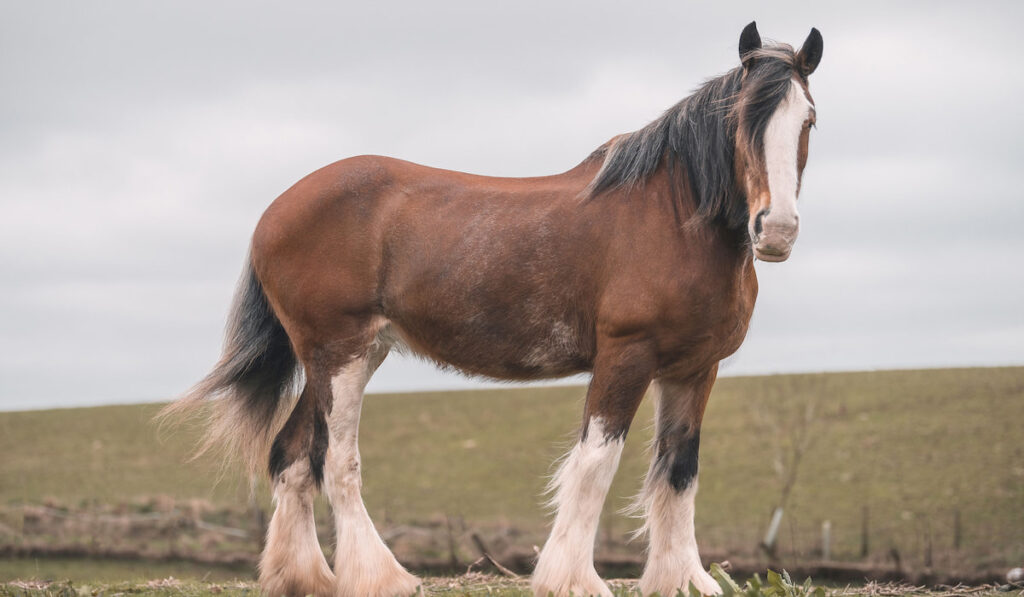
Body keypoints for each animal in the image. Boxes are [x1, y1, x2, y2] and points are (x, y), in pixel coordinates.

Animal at [163, 20, 819, 597]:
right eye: (742, 118)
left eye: (807, 119)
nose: (776, 230)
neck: (673, 216)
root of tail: (275, 210)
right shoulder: (626, 356)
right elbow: (595, 466)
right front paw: (572, 581)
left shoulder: (694, 369)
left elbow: (680, 471)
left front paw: (682, 579)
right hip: (340, 353)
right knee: (337, 461)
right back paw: (382, 577)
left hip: (344, 355)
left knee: (292, 457)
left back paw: (304, 578)